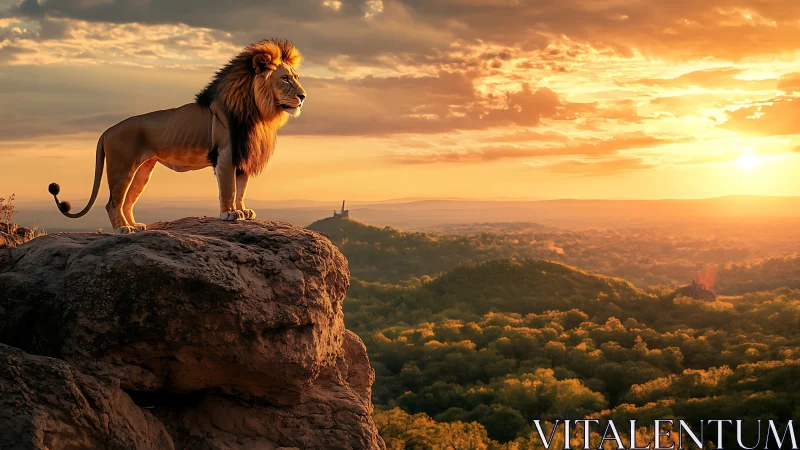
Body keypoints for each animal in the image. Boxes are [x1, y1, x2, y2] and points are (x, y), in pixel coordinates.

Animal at [47, 39, 306, 234]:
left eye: (297, 78)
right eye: (285, 78)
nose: (303, 96)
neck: (258, 112)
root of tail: (106, 131)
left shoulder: (244, 155)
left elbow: (241, 188)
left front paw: (244, 211)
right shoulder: (226, 153)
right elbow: (229, 188)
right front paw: (229, 213)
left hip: (143, 170)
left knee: (127, 201)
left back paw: (135, 226)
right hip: (121, 166)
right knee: (113, 203)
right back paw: (122, 230)